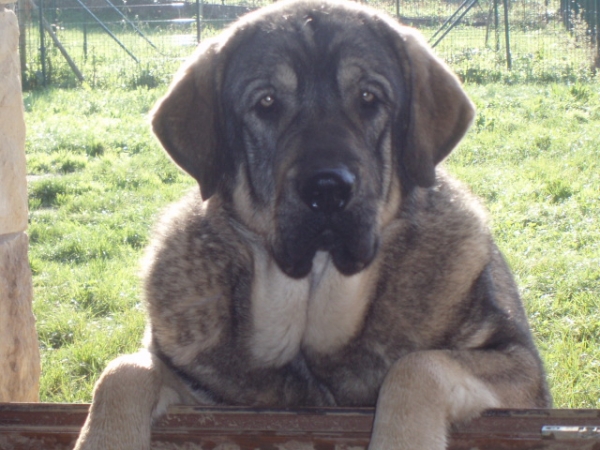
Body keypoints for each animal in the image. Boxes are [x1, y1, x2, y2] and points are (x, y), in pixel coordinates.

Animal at [72, 1, 552, 448]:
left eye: (368, 98)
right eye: (266, 103)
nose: (327, 189)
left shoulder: (521, 370)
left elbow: (418, 366)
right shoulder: (201, 387)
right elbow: (122, 370)